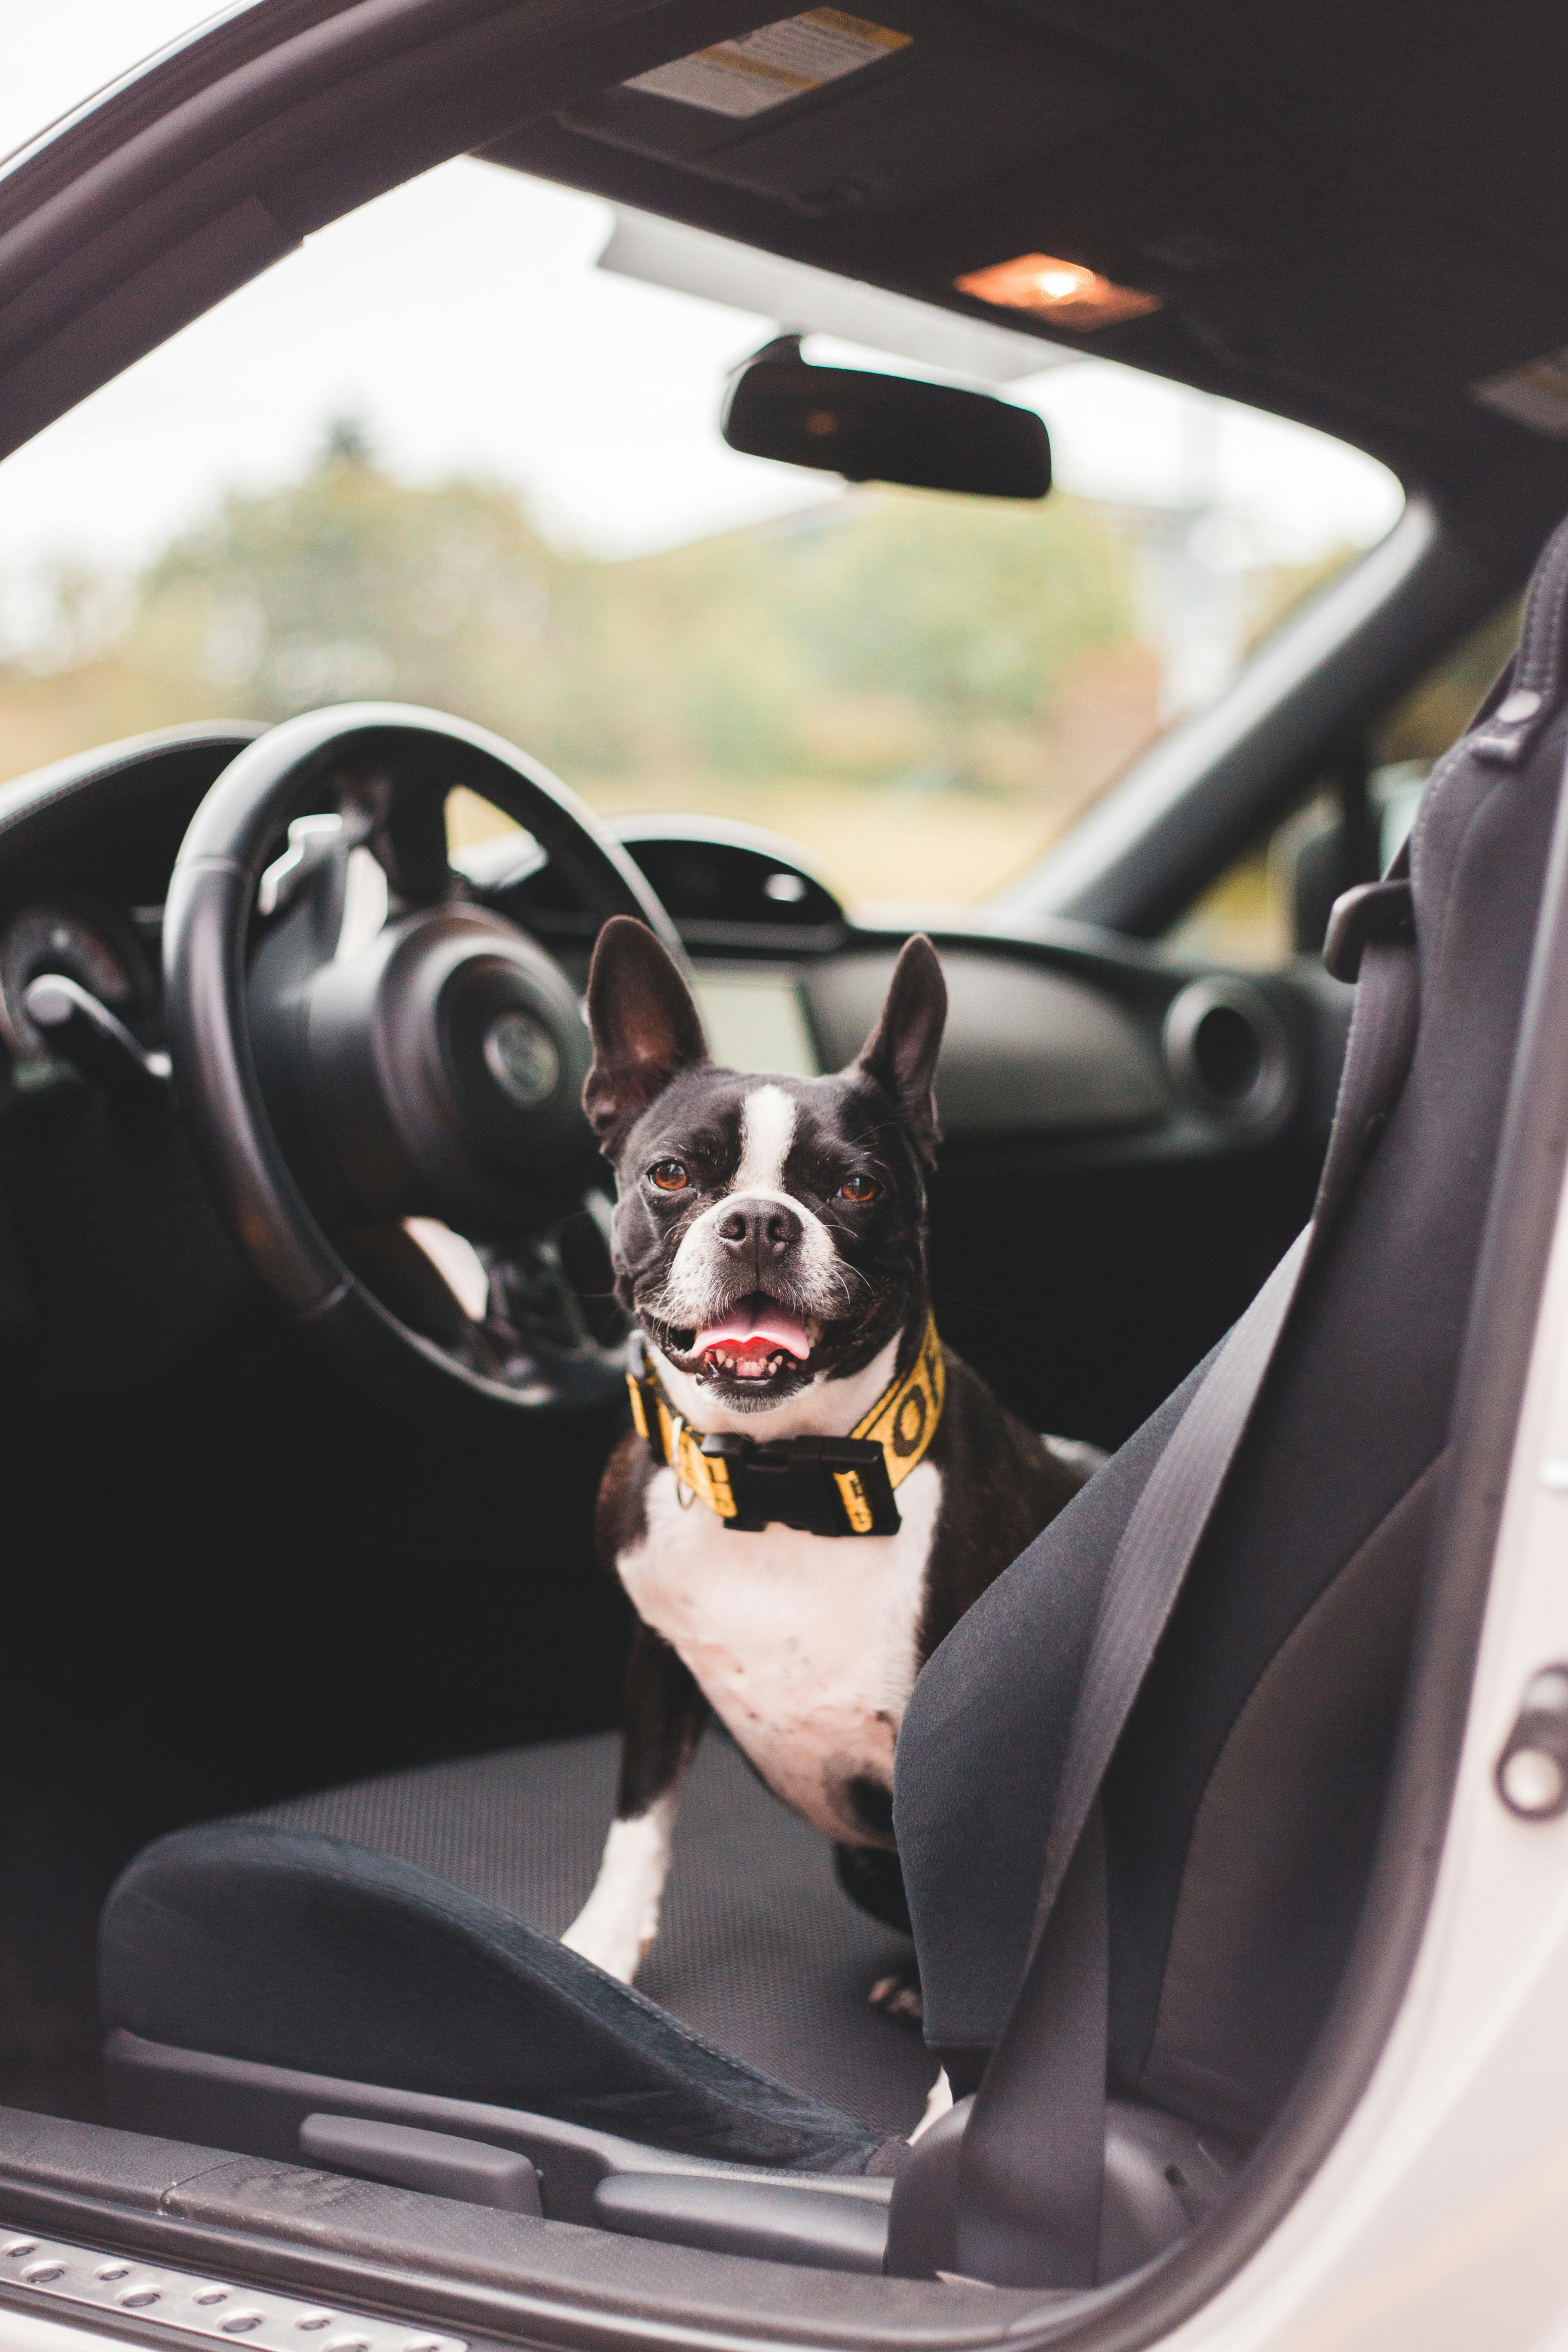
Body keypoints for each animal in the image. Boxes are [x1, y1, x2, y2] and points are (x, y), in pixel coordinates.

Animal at [564, 917, 1090, 2004]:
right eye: (671, 1174)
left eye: (857, 1186)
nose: (760, 1219)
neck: (780, 1478)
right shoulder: (654, 1655)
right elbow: (639, 1815)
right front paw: (600, 1946)